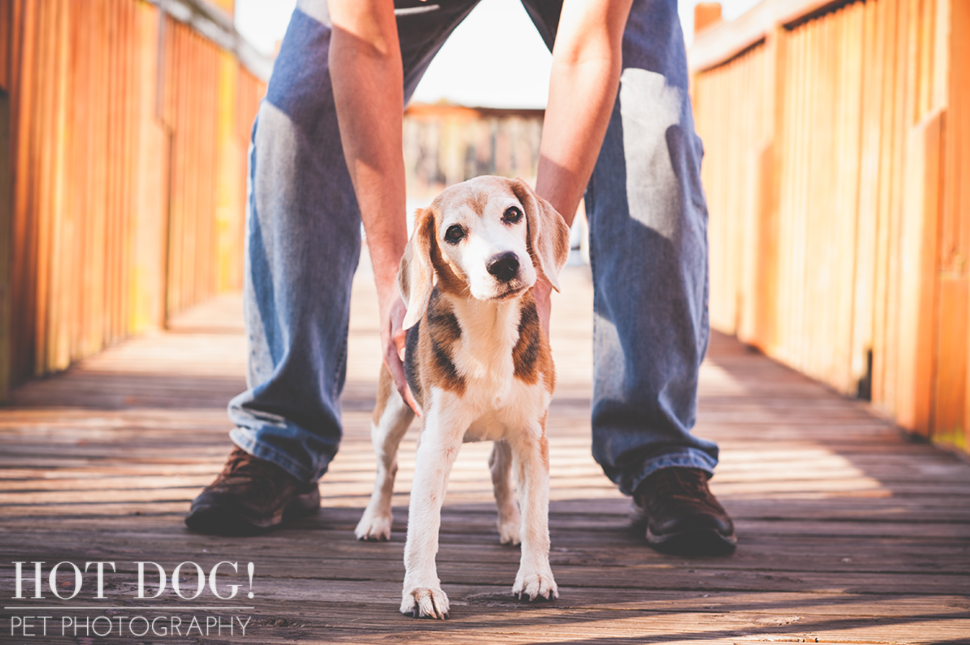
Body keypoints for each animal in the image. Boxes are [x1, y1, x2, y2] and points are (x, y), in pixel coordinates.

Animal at [354, 174, 568, 616]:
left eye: (513, 214)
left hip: (509, 436)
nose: (504, 263)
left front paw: (536, 576)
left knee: (499, 471)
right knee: (387, 469)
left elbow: (537, 519)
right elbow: (424, 525)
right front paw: (421, 590)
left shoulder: (533, 439)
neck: (489, 330)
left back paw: (509, 523)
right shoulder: (437, 443)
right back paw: (375, 520)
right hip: (388, 420)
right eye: (454, 233)